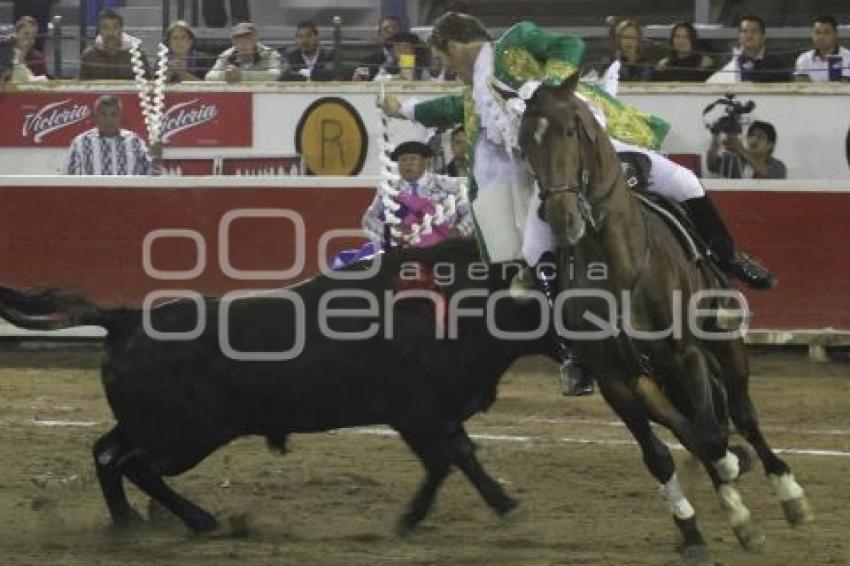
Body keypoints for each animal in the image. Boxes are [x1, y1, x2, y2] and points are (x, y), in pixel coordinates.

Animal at [0, 240, 548, 536]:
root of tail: (127, 319)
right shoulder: (416, 414)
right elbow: (444, 462)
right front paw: (409, 519)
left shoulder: (440, 415)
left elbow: (464, 457)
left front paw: (506, 506)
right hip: (187, 437)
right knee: (133, 465)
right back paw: (199, 520)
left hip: (153, 426)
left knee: (106, 453)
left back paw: (129, 523)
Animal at [516, 74, 816, 564]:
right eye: (523, 142)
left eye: (571, 129)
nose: (561, 218)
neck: (618, 267)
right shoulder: (617, 381)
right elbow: (666, 451)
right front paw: (696, 524)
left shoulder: (685, 356)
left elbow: (712, 432)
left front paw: (738, 497)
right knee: (699, 425)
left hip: (722, 344)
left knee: (742, 414)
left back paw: (787, 491)